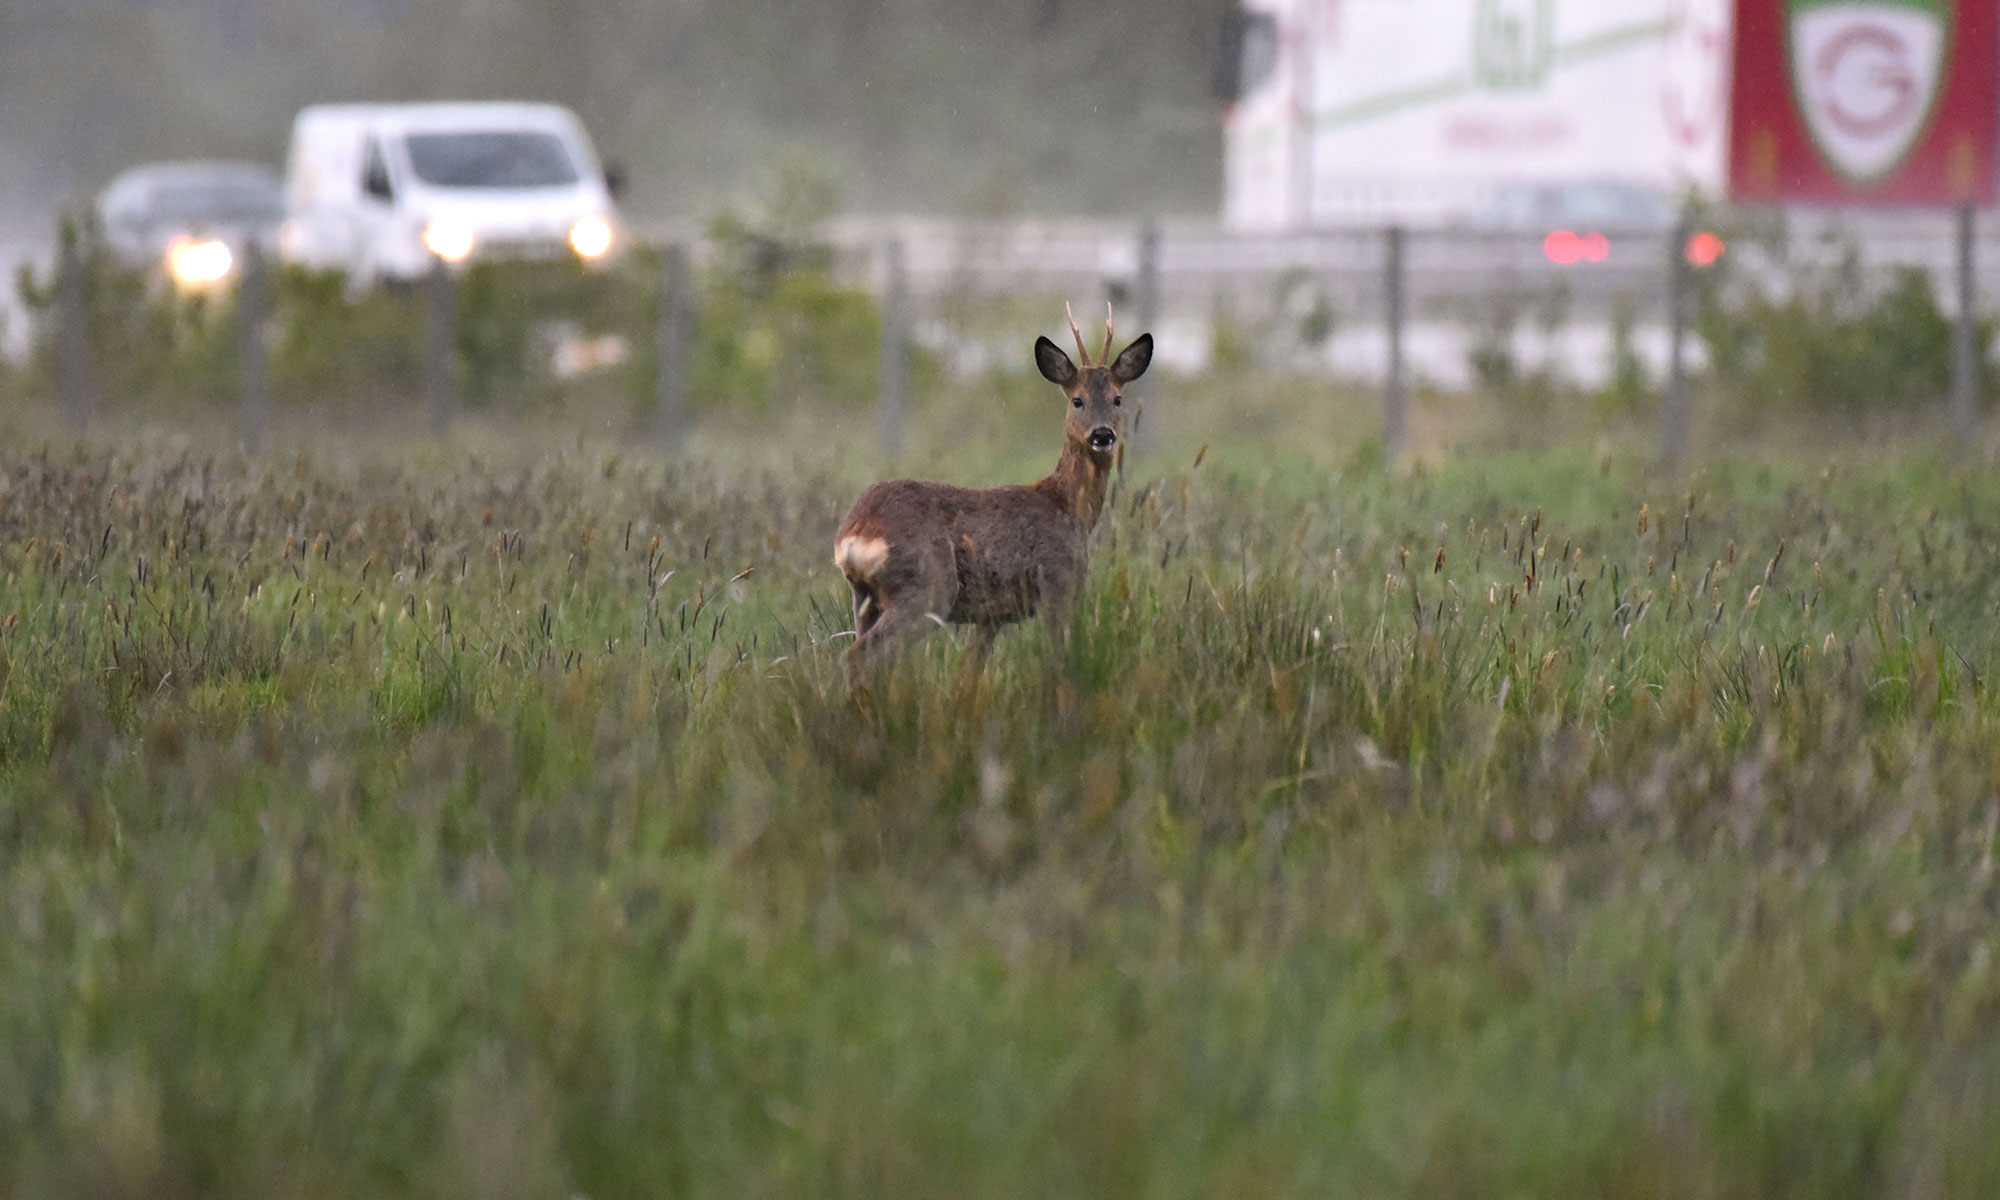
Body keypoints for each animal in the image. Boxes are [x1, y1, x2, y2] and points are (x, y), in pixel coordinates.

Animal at [832, 302, 1152, 684]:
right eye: (1078, 400)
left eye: (1117, 399)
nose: (1102, 434)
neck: (1070, 507)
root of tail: (856, 534)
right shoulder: (1058, 582)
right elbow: (1061, 664)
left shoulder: (991, 617)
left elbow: (970, 678)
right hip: (927, 589)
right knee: (860, 656)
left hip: (863, 598)